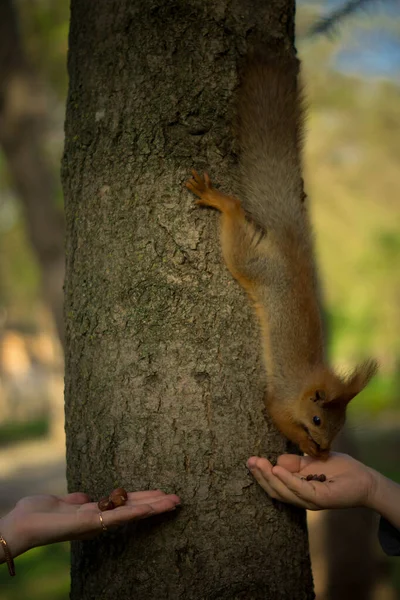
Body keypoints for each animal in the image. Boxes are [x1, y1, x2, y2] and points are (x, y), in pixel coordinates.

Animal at [186, 52, 376, 460]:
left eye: (341, 425)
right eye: (318, 420)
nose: (324, 448)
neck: (308, 381)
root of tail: (292, 249)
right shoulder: (281, 397)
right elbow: (276, 414)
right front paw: (305, 446)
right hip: (252, 264)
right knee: (235, 219)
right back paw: (218, 199)